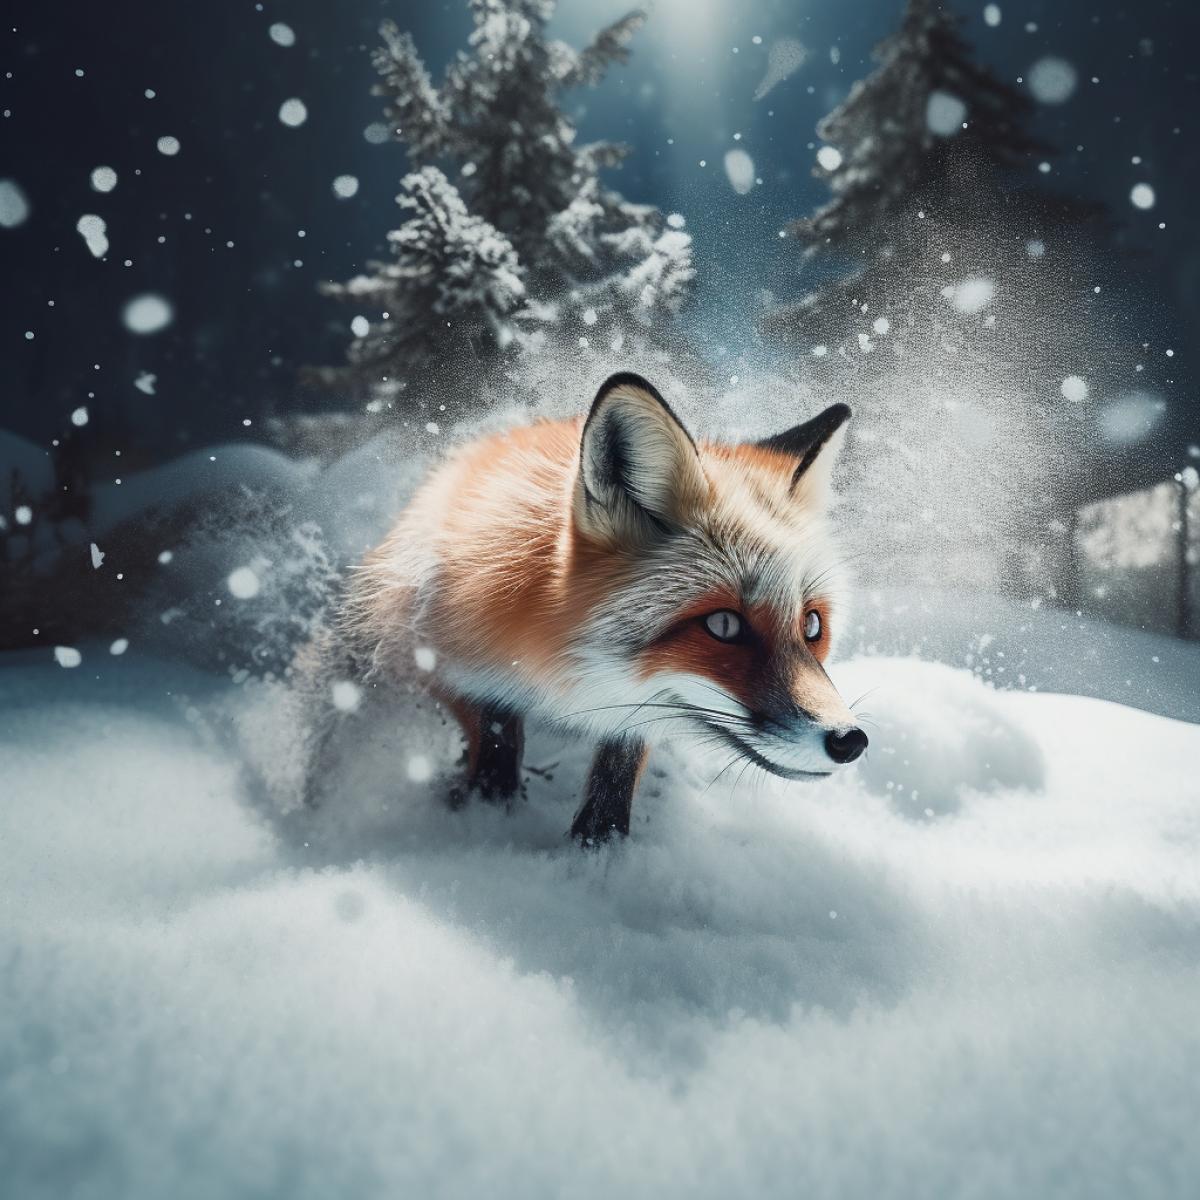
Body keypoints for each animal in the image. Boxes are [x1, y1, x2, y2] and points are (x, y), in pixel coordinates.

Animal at [305, 372, 867, 843]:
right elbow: (495, 736)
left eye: (811, 624)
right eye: (723, 625)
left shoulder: (632, 710)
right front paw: (490, 812)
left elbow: (614, 781)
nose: (850, 740)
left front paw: (595, 854)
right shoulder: (431, 655)